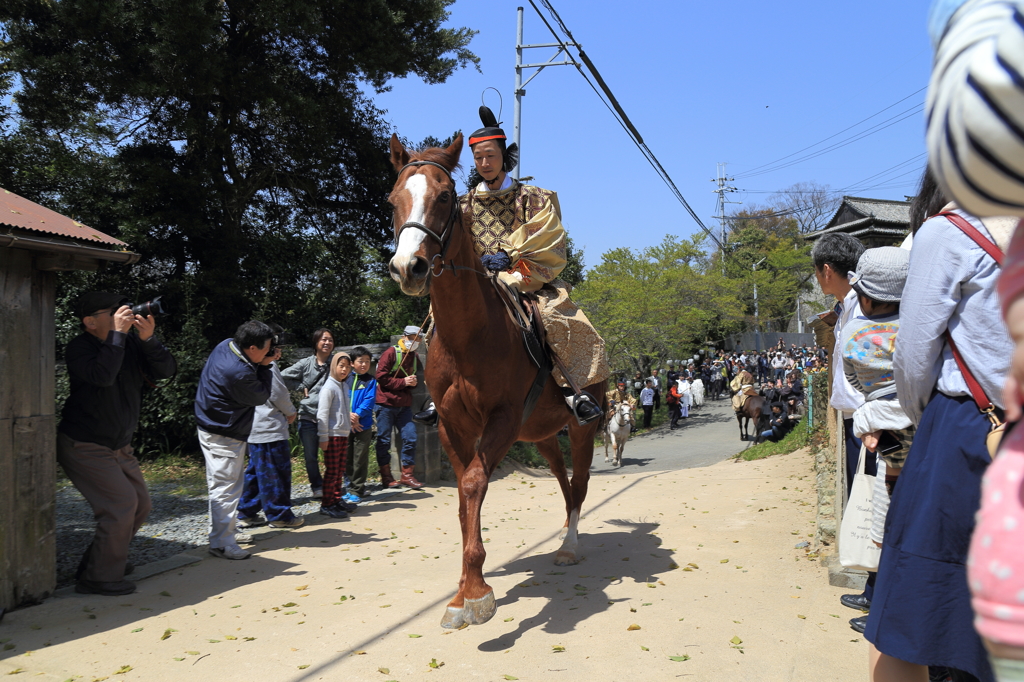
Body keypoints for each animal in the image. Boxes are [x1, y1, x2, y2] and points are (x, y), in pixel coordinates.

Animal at [385, 131, 606, 626]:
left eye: (444, 197)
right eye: (394, 199)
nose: (409, 267)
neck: (469, 336)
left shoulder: (502, 418)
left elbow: (472, 485)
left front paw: (476, 594)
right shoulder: (453, 425)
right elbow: (464, 496)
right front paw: (462, 594)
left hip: (582, 424)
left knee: (580, 483)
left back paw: (569, 545)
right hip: (539, 433)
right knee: (563, 479)